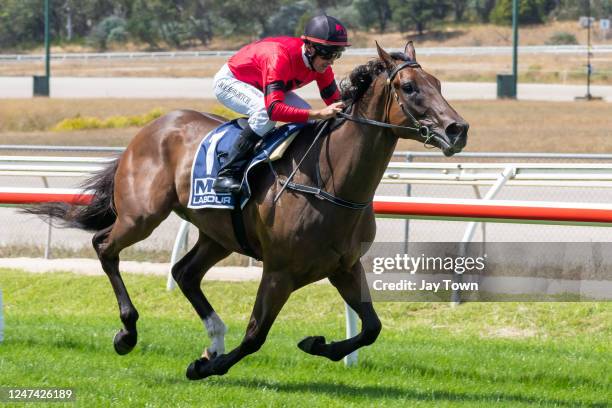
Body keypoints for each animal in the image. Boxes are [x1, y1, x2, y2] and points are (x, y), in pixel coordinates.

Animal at [27, 41, 468, 380]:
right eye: (410, 88)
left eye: (438, 84)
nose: (457, 130)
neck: (331, 183)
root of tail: (151, 127)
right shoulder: (279, 270)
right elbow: (256, 334)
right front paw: (205, 367)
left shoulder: (345, 265)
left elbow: (373, 327)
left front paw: (317, 344)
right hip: (142, 215)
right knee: (105, 246)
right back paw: (128, 333)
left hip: (217, 233)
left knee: (184, 272)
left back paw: (213, 336)